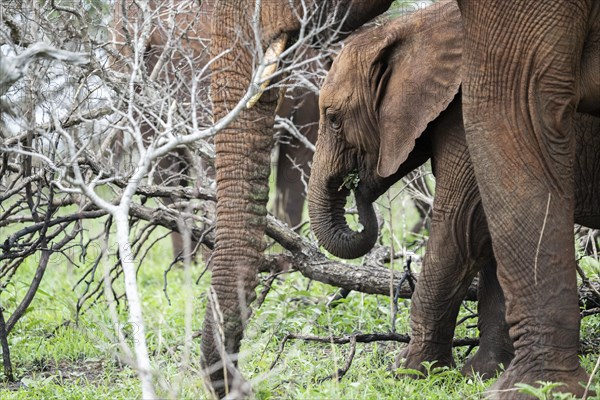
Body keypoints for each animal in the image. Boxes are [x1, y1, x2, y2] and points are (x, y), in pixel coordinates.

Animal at [310, 0, 600, 386]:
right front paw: (483, 372)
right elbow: (489, 234)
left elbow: (461, 226)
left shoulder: (464, 115)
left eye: (333, 118)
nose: (360, 184)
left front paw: (407, 371)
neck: (413, 26)